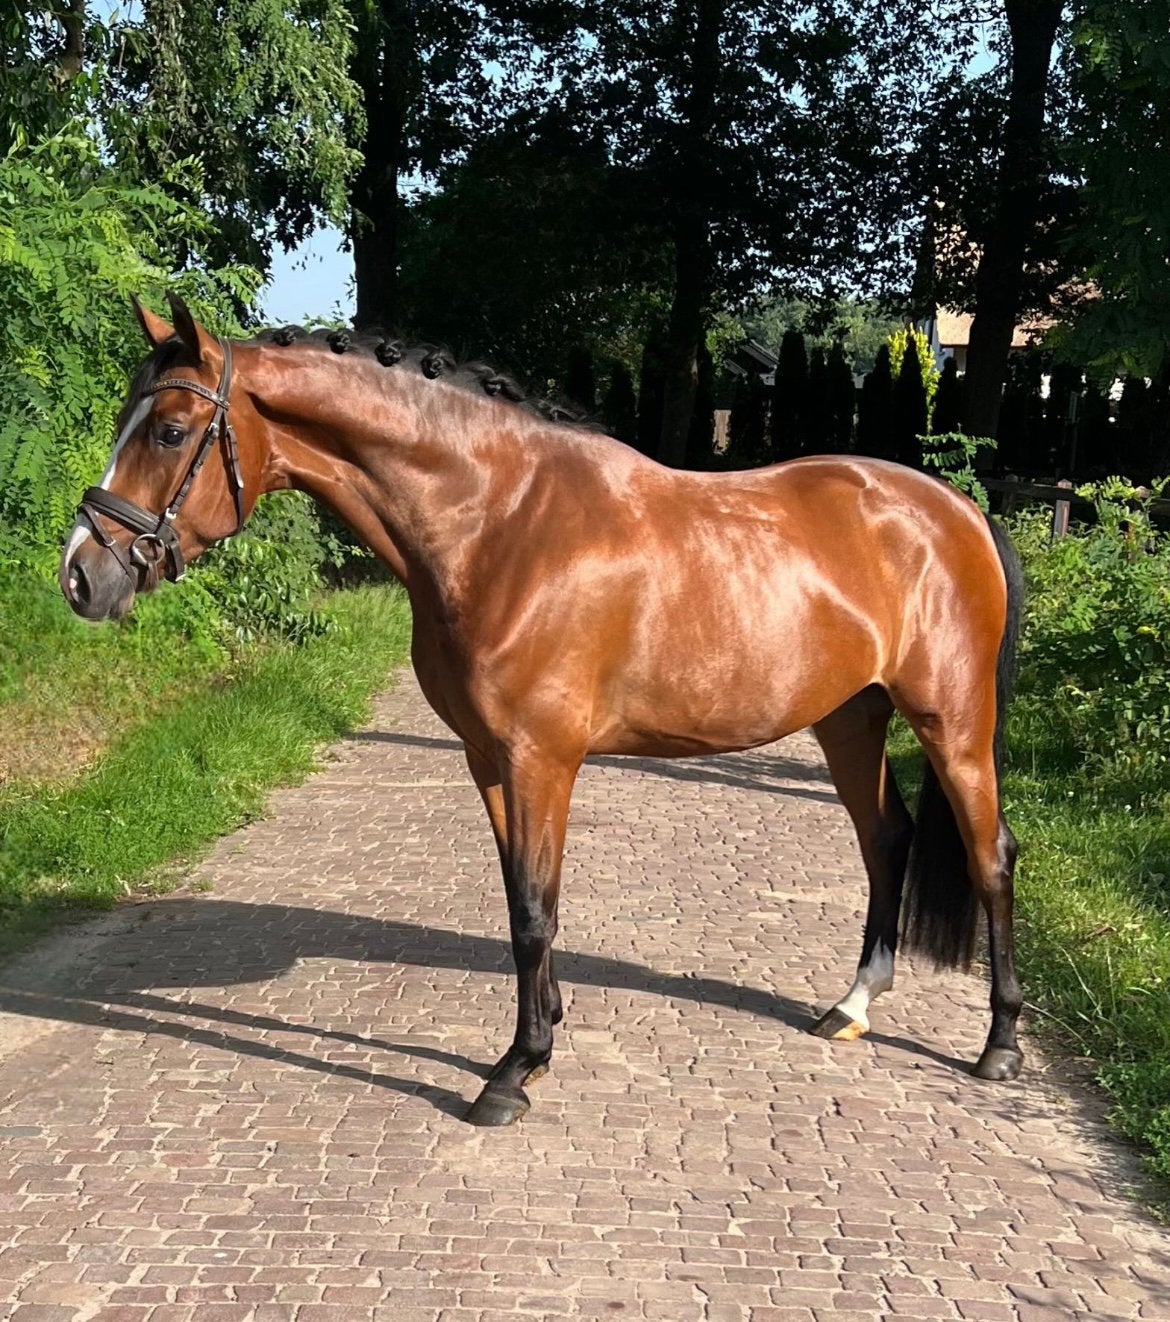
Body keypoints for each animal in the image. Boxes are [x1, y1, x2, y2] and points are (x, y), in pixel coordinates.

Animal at [60, 293, 1025, 1127]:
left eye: (170, 430)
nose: (80, 576)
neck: (504, 523)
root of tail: (957, 511)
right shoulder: (488, 759)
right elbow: (522, 902)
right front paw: (544, 1035)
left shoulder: (540, 759)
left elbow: (533, 909)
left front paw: (512, 1073)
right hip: (850, 717)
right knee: (887, 840)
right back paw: (852, 1005)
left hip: (951, 723)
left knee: (990, 855)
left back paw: (998, 1045)